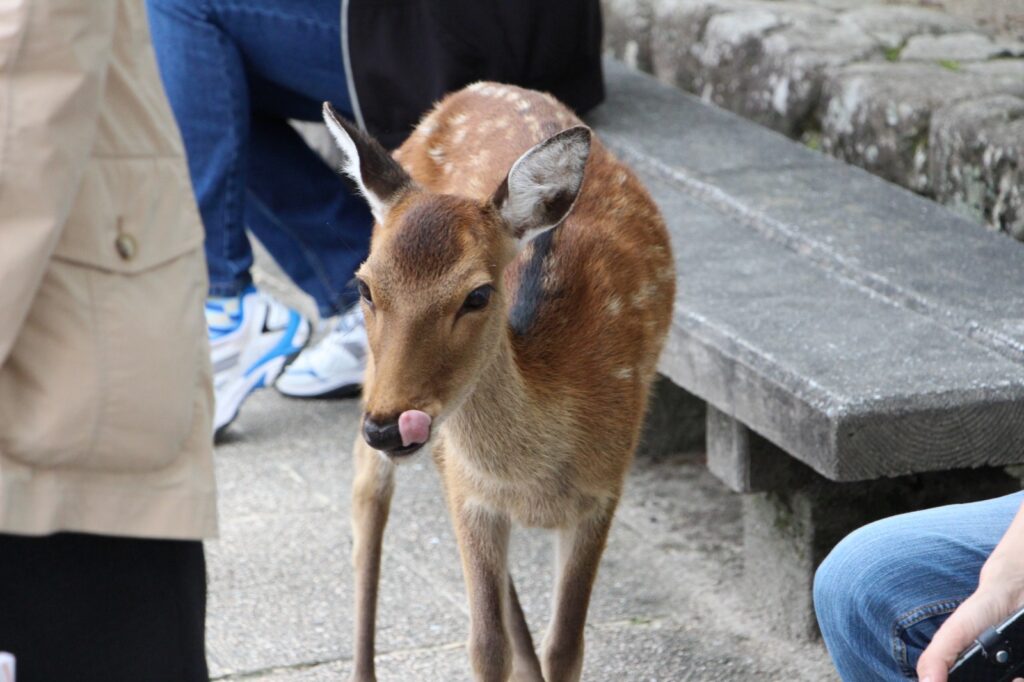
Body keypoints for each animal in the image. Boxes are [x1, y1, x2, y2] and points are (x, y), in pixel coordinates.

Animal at [319, 80, 671, 679]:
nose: (390, 427)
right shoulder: (473, 500)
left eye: (478, 294)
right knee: (367, 495)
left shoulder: (604, 488)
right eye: (364, 287)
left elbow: (566, 645)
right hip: (377, 386)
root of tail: (477, 89)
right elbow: (485, 646)